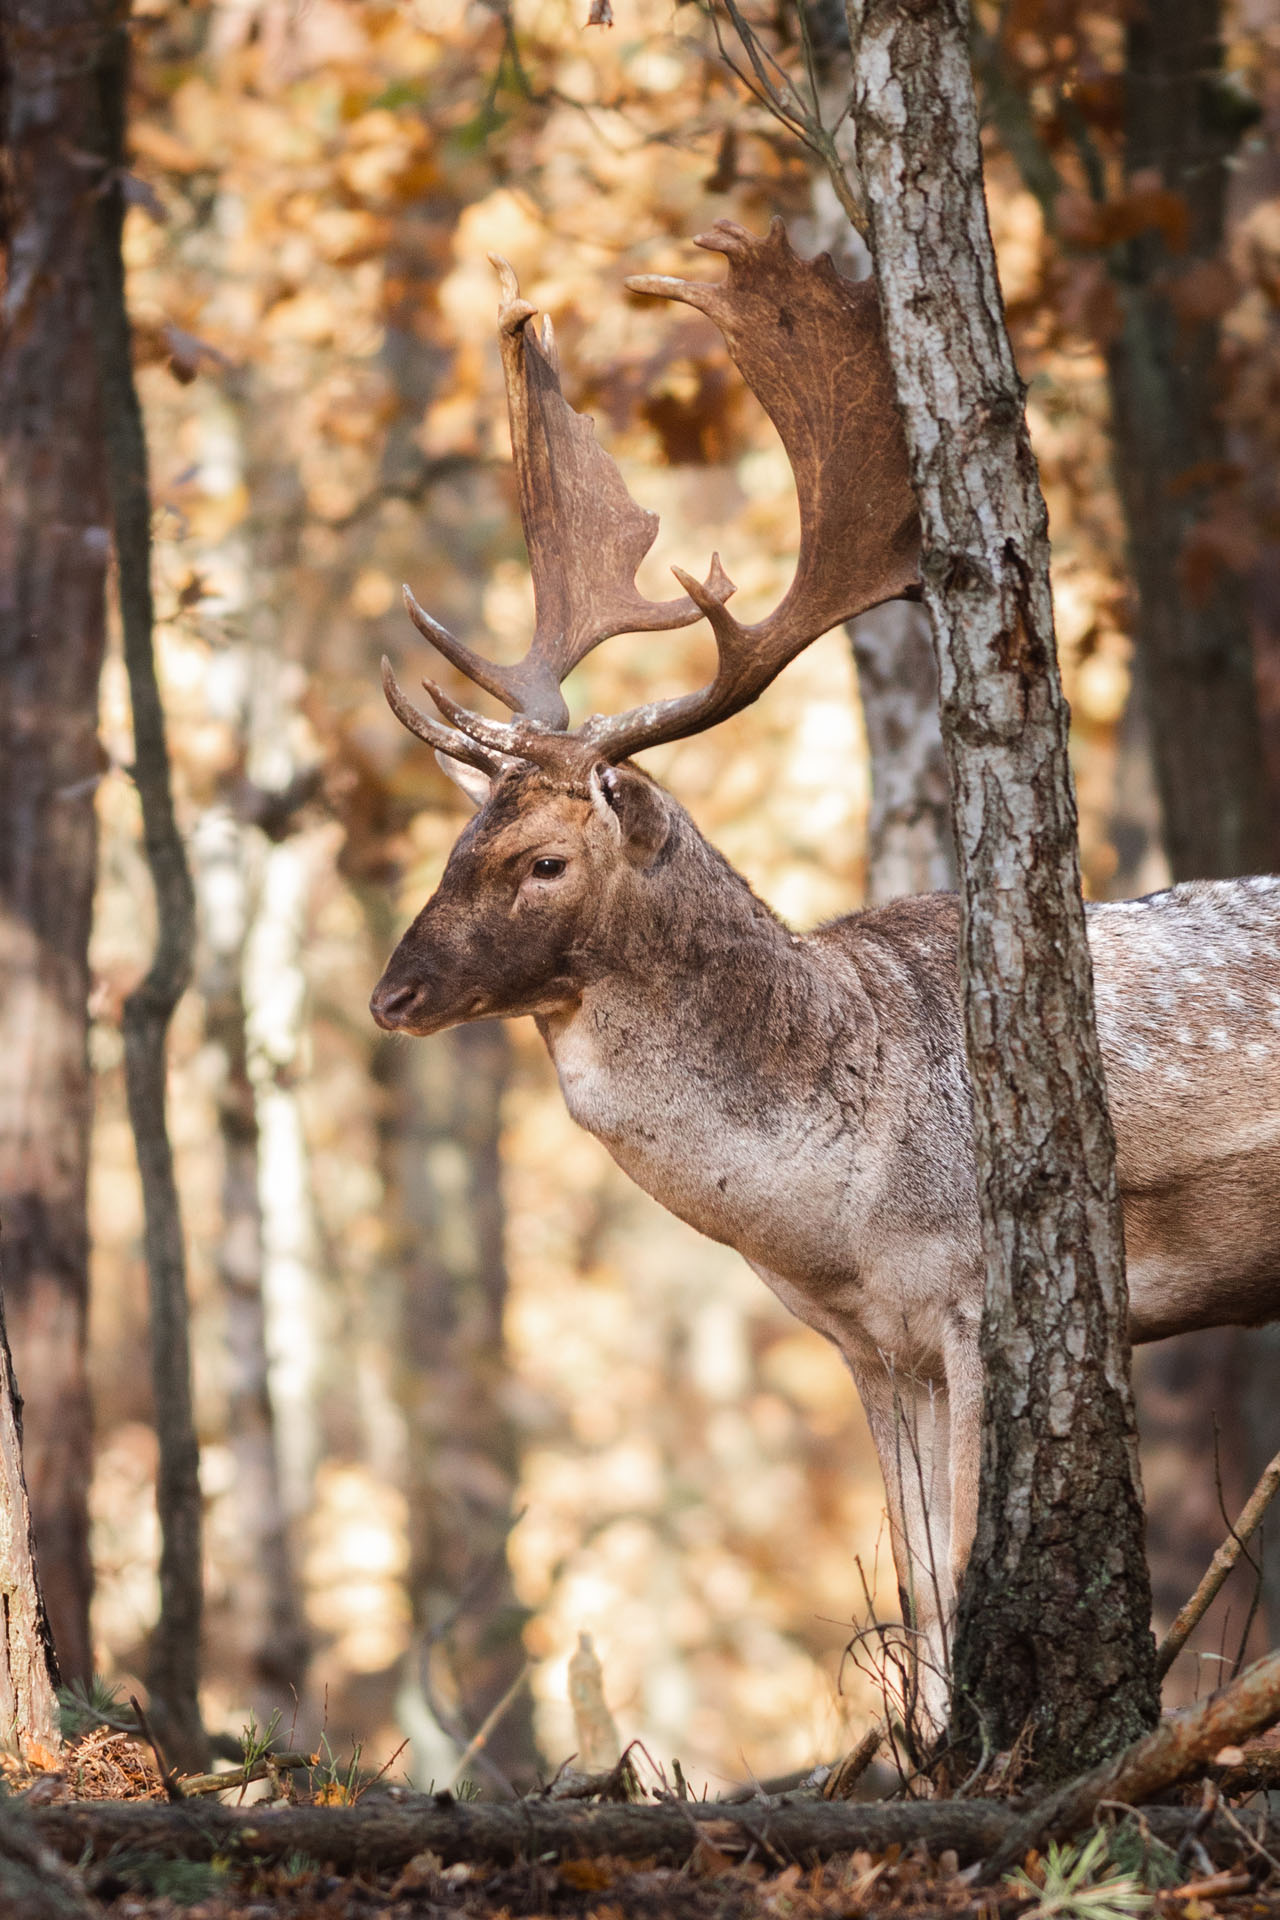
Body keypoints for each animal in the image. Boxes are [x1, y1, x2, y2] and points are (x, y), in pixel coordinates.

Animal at [368, 224, 1280, 1728]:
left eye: (545, 860)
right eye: (456, 839)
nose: (391, 995)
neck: (834, 1208)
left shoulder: (972, 1294)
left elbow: (963, 1571)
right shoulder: (867, 1345)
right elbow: (911, 1589)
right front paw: (926, 1742)